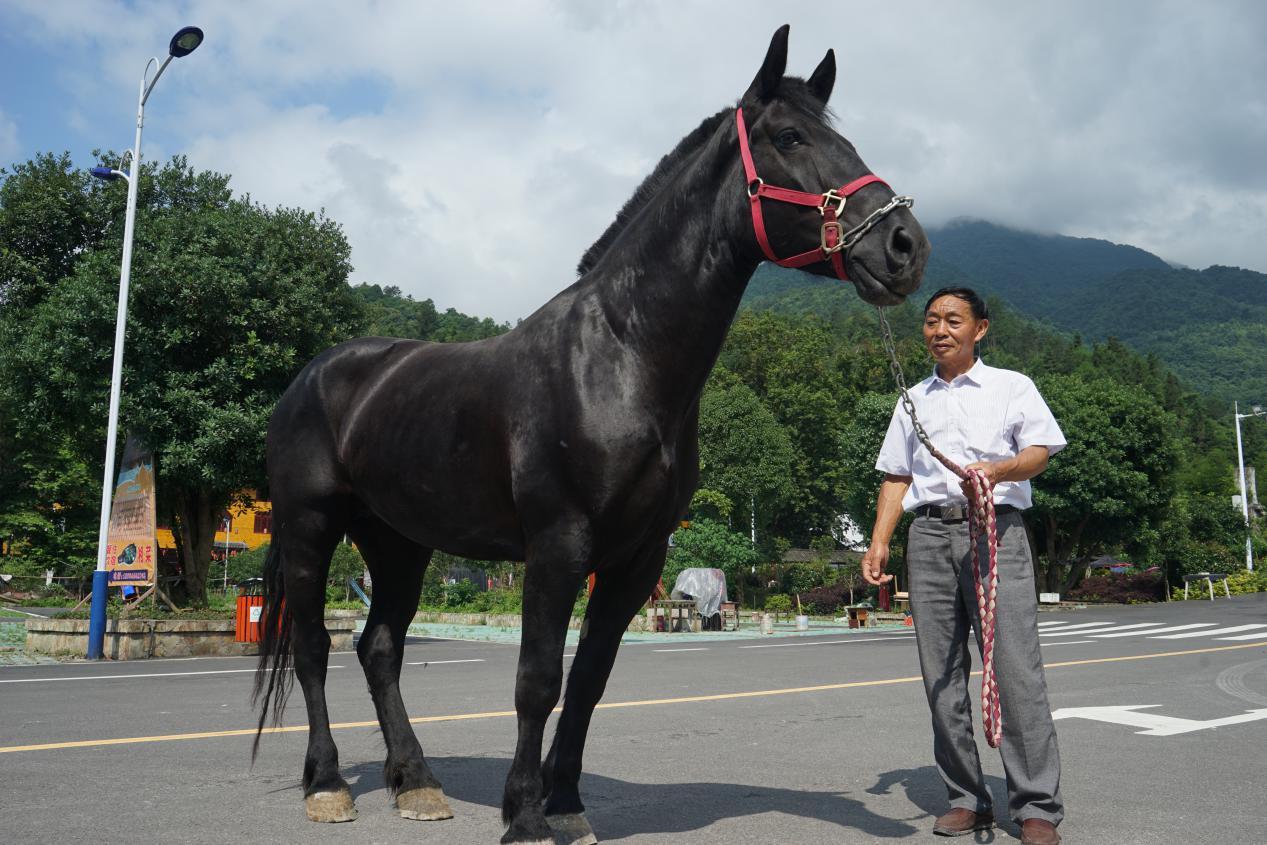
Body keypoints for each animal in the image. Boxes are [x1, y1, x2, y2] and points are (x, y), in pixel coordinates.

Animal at [254, 26, 932, 845]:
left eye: (847, 139)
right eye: (790, 138)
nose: (903, 245)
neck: (618, 356)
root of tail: (311, 376)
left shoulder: (636, 559)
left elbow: (588, 680)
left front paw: (566, 802)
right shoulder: (557, 546)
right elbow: (537, 680)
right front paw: (523, 814)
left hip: (399, 541)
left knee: (378, 648)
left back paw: (416, 781)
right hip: (309, 529)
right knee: (315, 648)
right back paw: (327, 784)